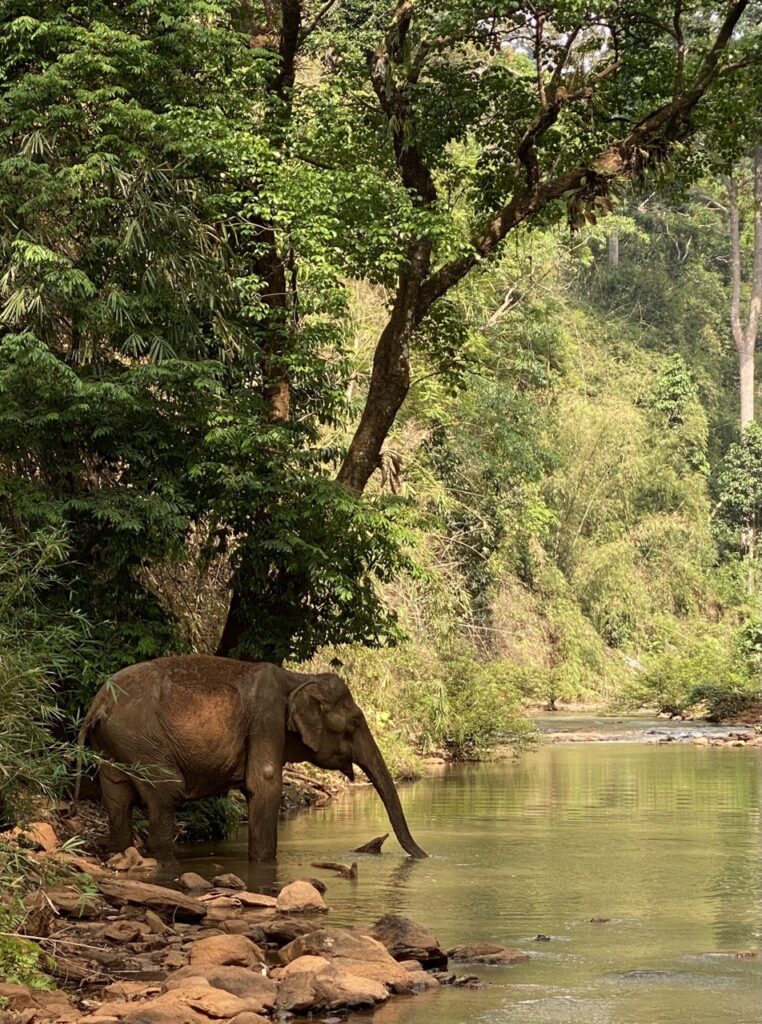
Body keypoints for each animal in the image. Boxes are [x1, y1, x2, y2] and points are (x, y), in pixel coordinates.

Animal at [77, 651, 428, 860]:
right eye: (354, 723)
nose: (424, 856)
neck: (298, 678)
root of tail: (98, 702)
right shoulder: (266, 718)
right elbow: (265, 784)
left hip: (114, 745)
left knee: (117, 799)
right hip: (141, 739)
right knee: (166, 793)